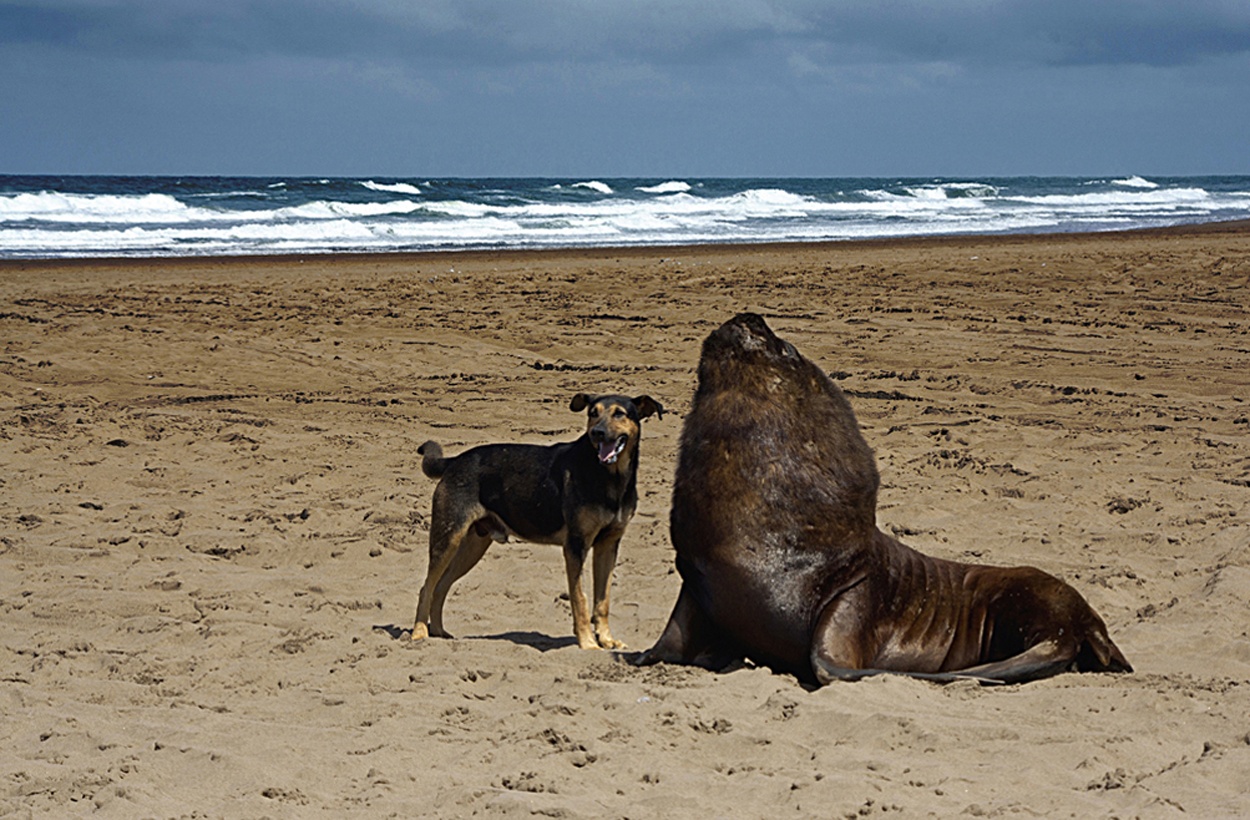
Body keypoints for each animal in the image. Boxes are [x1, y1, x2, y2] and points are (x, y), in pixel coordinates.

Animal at [410, 395, 665, 650]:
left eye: (619, 413)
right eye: (593, 413)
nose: (597, 433)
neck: (611, 476)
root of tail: (454, 461)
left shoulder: (608, 545)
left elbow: (603, 601)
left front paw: (606, 639)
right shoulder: (575, 546)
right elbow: (580, 599)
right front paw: (587, 642)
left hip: (473, 547)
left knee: (440, 587)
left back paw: (439, 633)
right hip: (448, 537)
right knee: (426, 587)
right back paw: (419, 633)